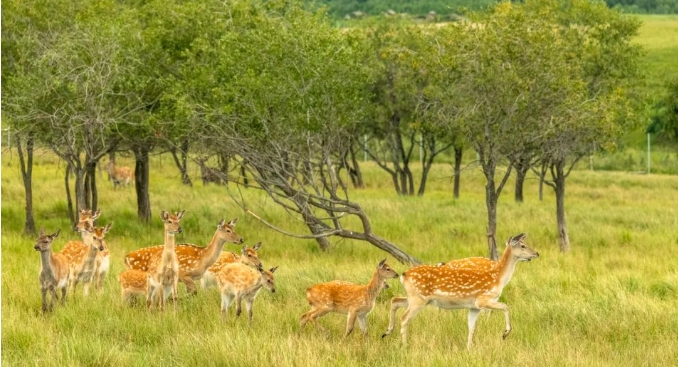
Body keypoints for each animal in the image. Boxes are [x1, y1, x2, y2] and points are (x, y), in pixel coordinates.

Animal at [382, 234, 540, 350]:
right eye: (523, 245)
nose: (537, 253)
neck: (498, 278)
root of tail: (404, 275)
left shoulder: (473, 307)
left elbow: (471, 327)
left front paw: (469, 349)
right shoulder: (483, 299)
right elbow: (506, 306)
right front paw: (505, 333)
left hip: (416, 298)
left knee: (395, 300)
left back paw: (387, 332)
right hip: (418, 300)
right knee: (404, 318)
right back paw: (404, 345)